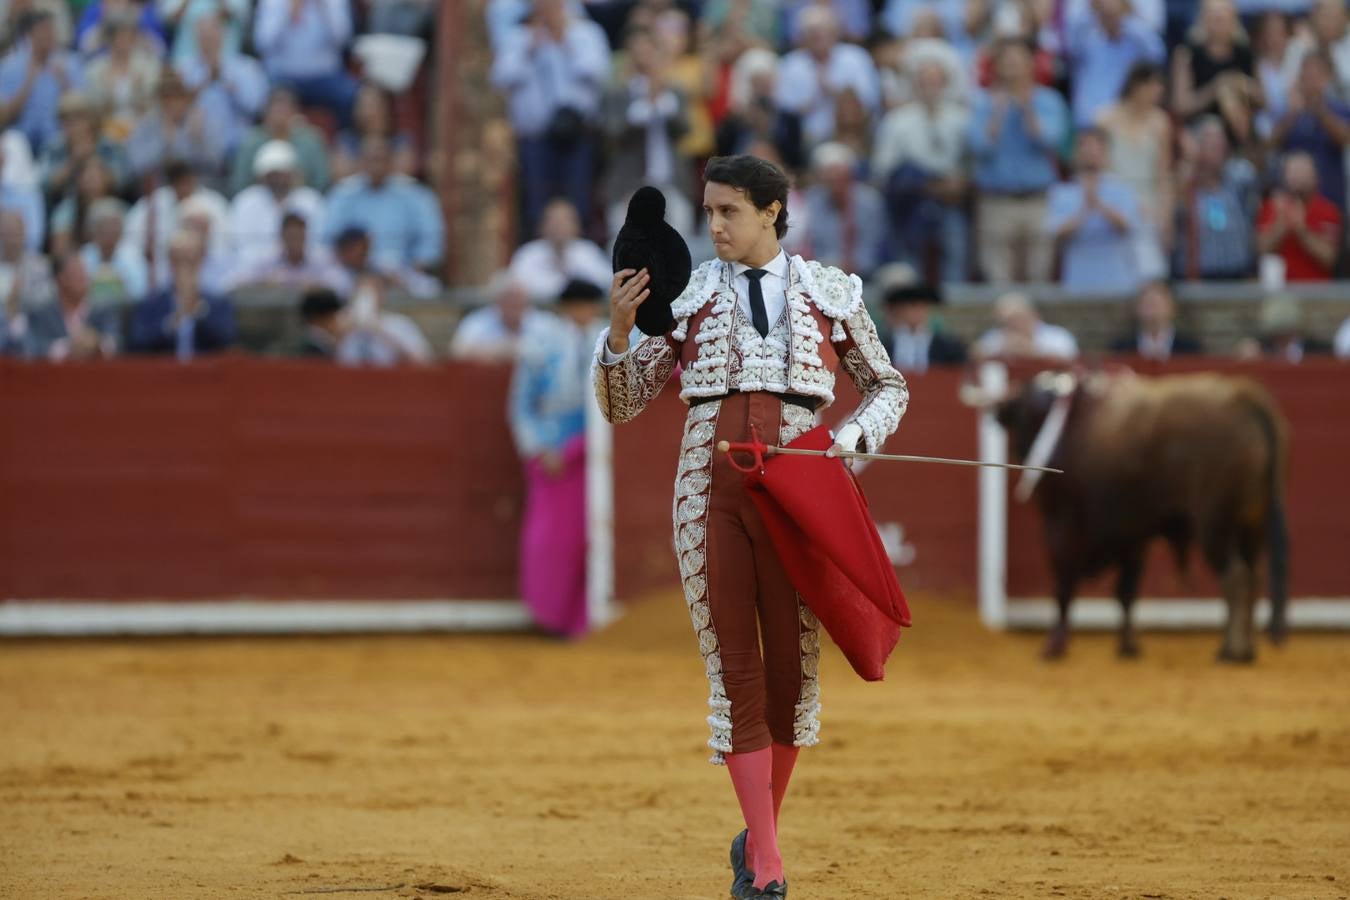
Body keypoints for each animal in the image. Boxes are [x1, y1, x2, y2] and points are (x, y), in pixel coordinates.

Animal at [993, 372, 1285, 661]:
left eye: (1021, 415)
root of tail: (1244, 399)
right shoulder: (1133, 537)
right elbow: (1126, 591)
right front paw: (1128, 645)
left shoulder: (1061, 527)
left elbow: (1064, 588)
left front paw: (1054, 645)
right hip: (1252, 525)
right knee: (1253, 576)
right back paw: (1244, 647)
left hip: (1216, 523)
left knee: (1236, 577)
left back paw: (1233, 650)